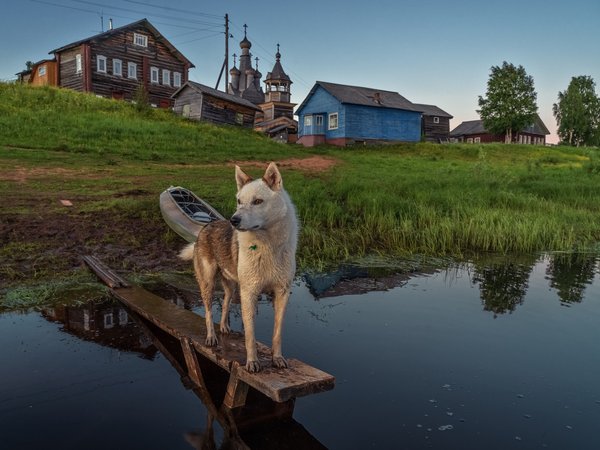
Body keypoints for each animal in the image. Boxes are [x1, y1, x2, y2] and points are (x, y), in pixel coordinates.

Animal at [179, 162, 298, 372]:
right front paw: (252, 362)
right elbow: (250, 335)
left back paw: (224, 327)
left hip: (233, 286)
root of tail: (206, 227)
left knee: (225, 302)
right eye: (239, 201)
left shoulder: (282, 292)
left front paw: (277, 358)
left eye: (258, 201)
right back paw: (211, 337)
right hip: (208, 283)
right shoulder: (249, 293)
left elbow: (277, 332)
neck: (268, 245)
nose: (233, 220)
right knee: (208, 312)